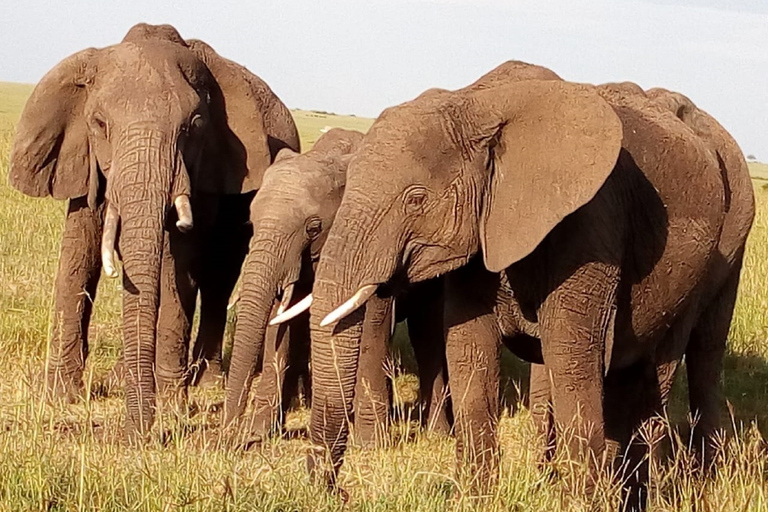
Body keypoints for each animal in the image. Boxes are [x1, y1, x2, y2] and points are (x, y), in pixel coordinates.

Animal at [7, 24, 300, 438]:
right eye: (99, 123)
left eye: (194, 125)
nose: (137, 432)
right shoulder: (82, 158)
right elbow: (79, 253)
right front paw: (60, 395)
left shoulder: (207, 166)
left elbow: (179, 265)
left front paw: (173, 406)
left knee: (217, 277)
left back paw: (203, 383)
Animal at [222, 127, 450, 444]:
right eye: (251, 222)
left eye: (313, 227)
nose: (230, 436)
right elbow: (279, 322)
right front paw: (259, 432)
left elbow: (372, 319)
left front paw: (368, 442)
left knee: (426, 332)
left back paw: (436, 434)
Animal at [274, 62, 752, 490]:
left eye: (416, 199)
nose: (334, 489)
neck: (476, 104)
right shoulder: (480, 232)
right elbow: (468, 350)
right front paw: (476, 496)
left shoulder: (591, 223)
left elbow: (572, 359)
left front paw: (580, 499)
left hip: (712, 255)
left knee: (672, 363)